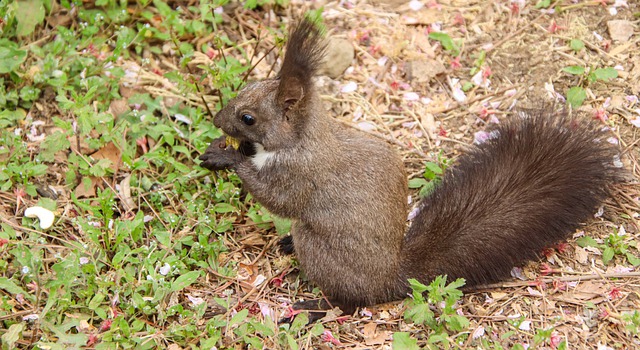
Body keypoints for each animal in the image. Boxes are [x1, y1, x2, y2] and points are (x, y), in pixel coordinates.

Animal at [199, 19, 620, 318]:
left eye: (248, 117)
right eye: (247, 87)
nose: (218, 120)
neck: (304, 137)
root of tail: (390, 278)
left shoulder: (301, 175)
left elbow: (278, 199)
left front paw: (230, 158)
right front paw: (225, 149)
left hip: (322, 251)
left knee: (348, 302)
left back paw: (315, 307)